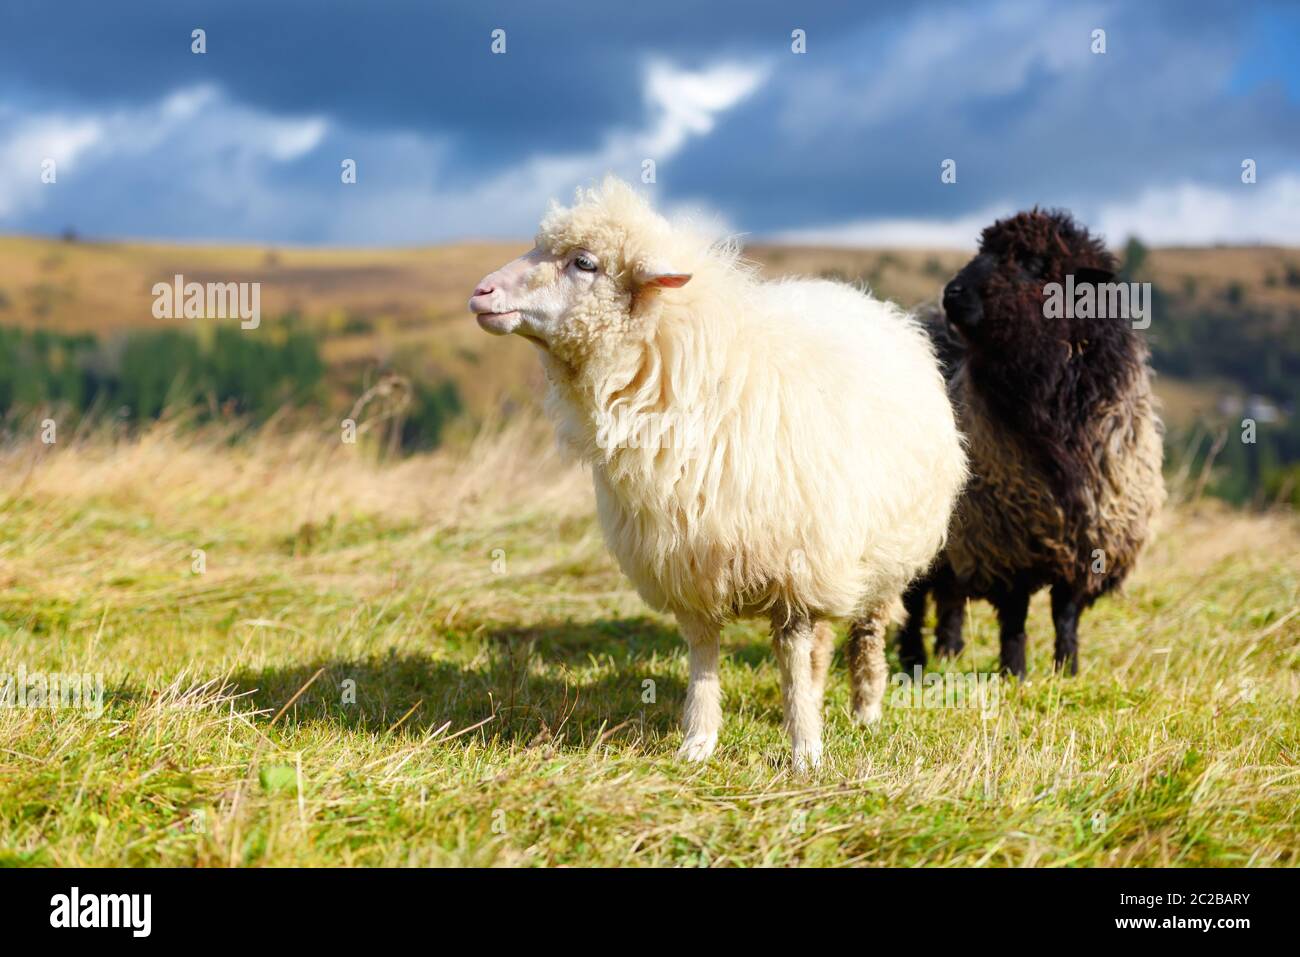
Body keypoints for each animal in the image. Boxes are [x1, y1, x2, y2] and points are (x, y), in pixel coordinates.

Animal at [468, 177, 966, 769]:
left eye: (584, 263)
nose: (481, 293)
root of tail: (867, 301)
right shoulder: (689, 560)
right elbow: (704, 655)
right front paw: (698, 741)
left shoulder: (796, 565)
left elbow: (791, 654)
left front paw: (805, 750)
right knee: (824, 643)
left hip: (882, 555)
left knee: (866, 630)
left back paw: (864, 710)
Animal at [898, 209, 1165, 678]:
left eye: (1034, 263)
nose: (953, 293)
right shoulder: (1004, 539)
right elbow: (1015, 615)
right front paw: (1015, 673)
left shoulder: (1090, 535)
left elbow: (1066, 613)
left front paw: (1068, 670)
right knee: (915, 600)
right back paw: (914, 659)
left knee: (949, 594)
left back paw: (950, 651)